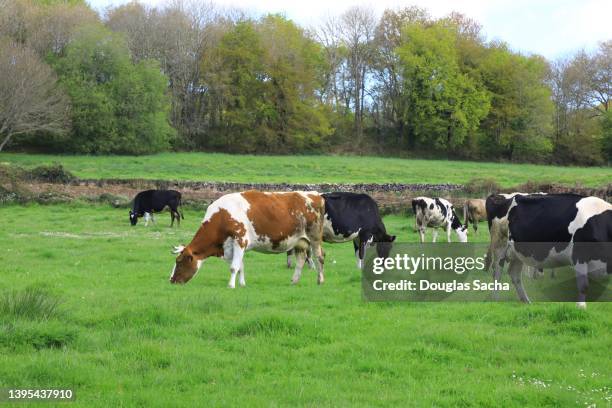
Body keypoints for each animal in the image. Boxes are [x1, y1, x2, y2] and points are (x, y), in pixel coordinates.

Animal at [170, 190, 328, 286]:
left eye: (179, 262)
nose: (171, 280)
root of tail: (315, 195)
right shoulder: (232, 246)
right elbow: (240, 266)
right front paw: (242, 284)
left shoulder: (240, 240)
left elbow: (234, 267)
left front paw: (231, 285)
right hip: (300, 241)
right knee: (301, 259)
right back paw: (294, 281)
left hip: (314, 237)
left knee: (319, 257)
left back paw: (320, 280)